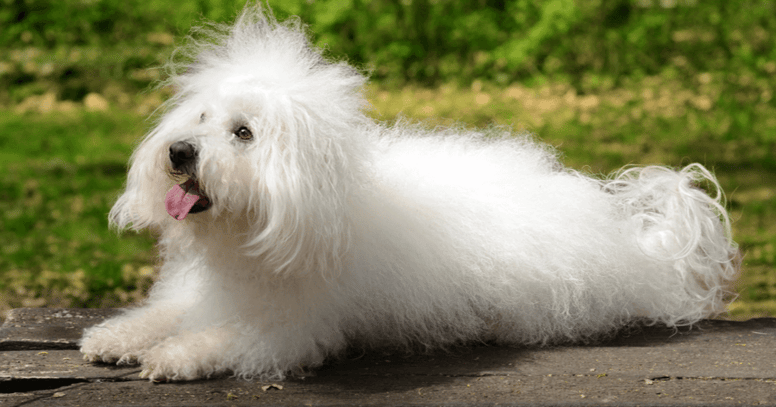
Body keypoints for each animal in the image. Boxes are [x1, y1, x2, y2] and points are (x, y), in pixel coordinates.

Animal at [80, 5, 740, 382]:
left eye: (243, 133)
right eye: (200, 117)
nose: (179, 153)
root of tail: (631, 244)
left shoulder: (290, 327)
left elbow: (222, 339)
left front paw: (172, 357)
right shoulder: (198, 293)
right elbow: (161, 314)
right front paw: (114, 339)